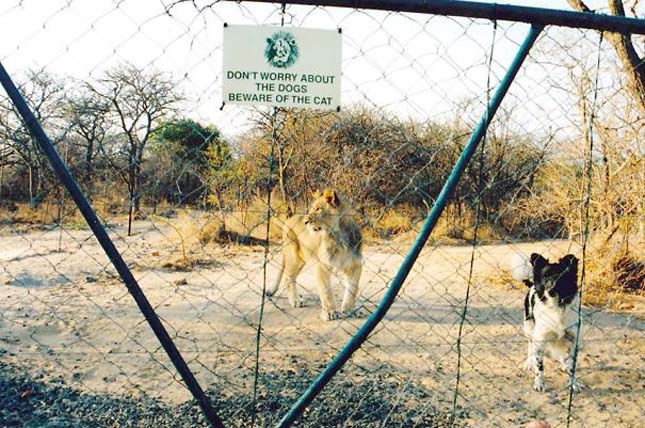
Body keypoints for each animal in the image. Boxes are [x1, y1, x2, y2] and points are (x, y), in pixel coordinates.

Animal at [512, 252, 584, 392]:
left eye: (561, 277)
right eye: (545, 277)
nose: (550, 290)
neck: (556, 306)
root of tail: (532, 284)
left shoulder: (573, 339)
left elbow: (572, 366)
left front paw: (572, 383)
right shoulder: (540, 339)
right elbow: (540, 366)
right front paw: (539, 383)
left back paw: (563, 363)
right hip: (529, 328)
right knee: (530, 345)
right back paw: (529, 362)